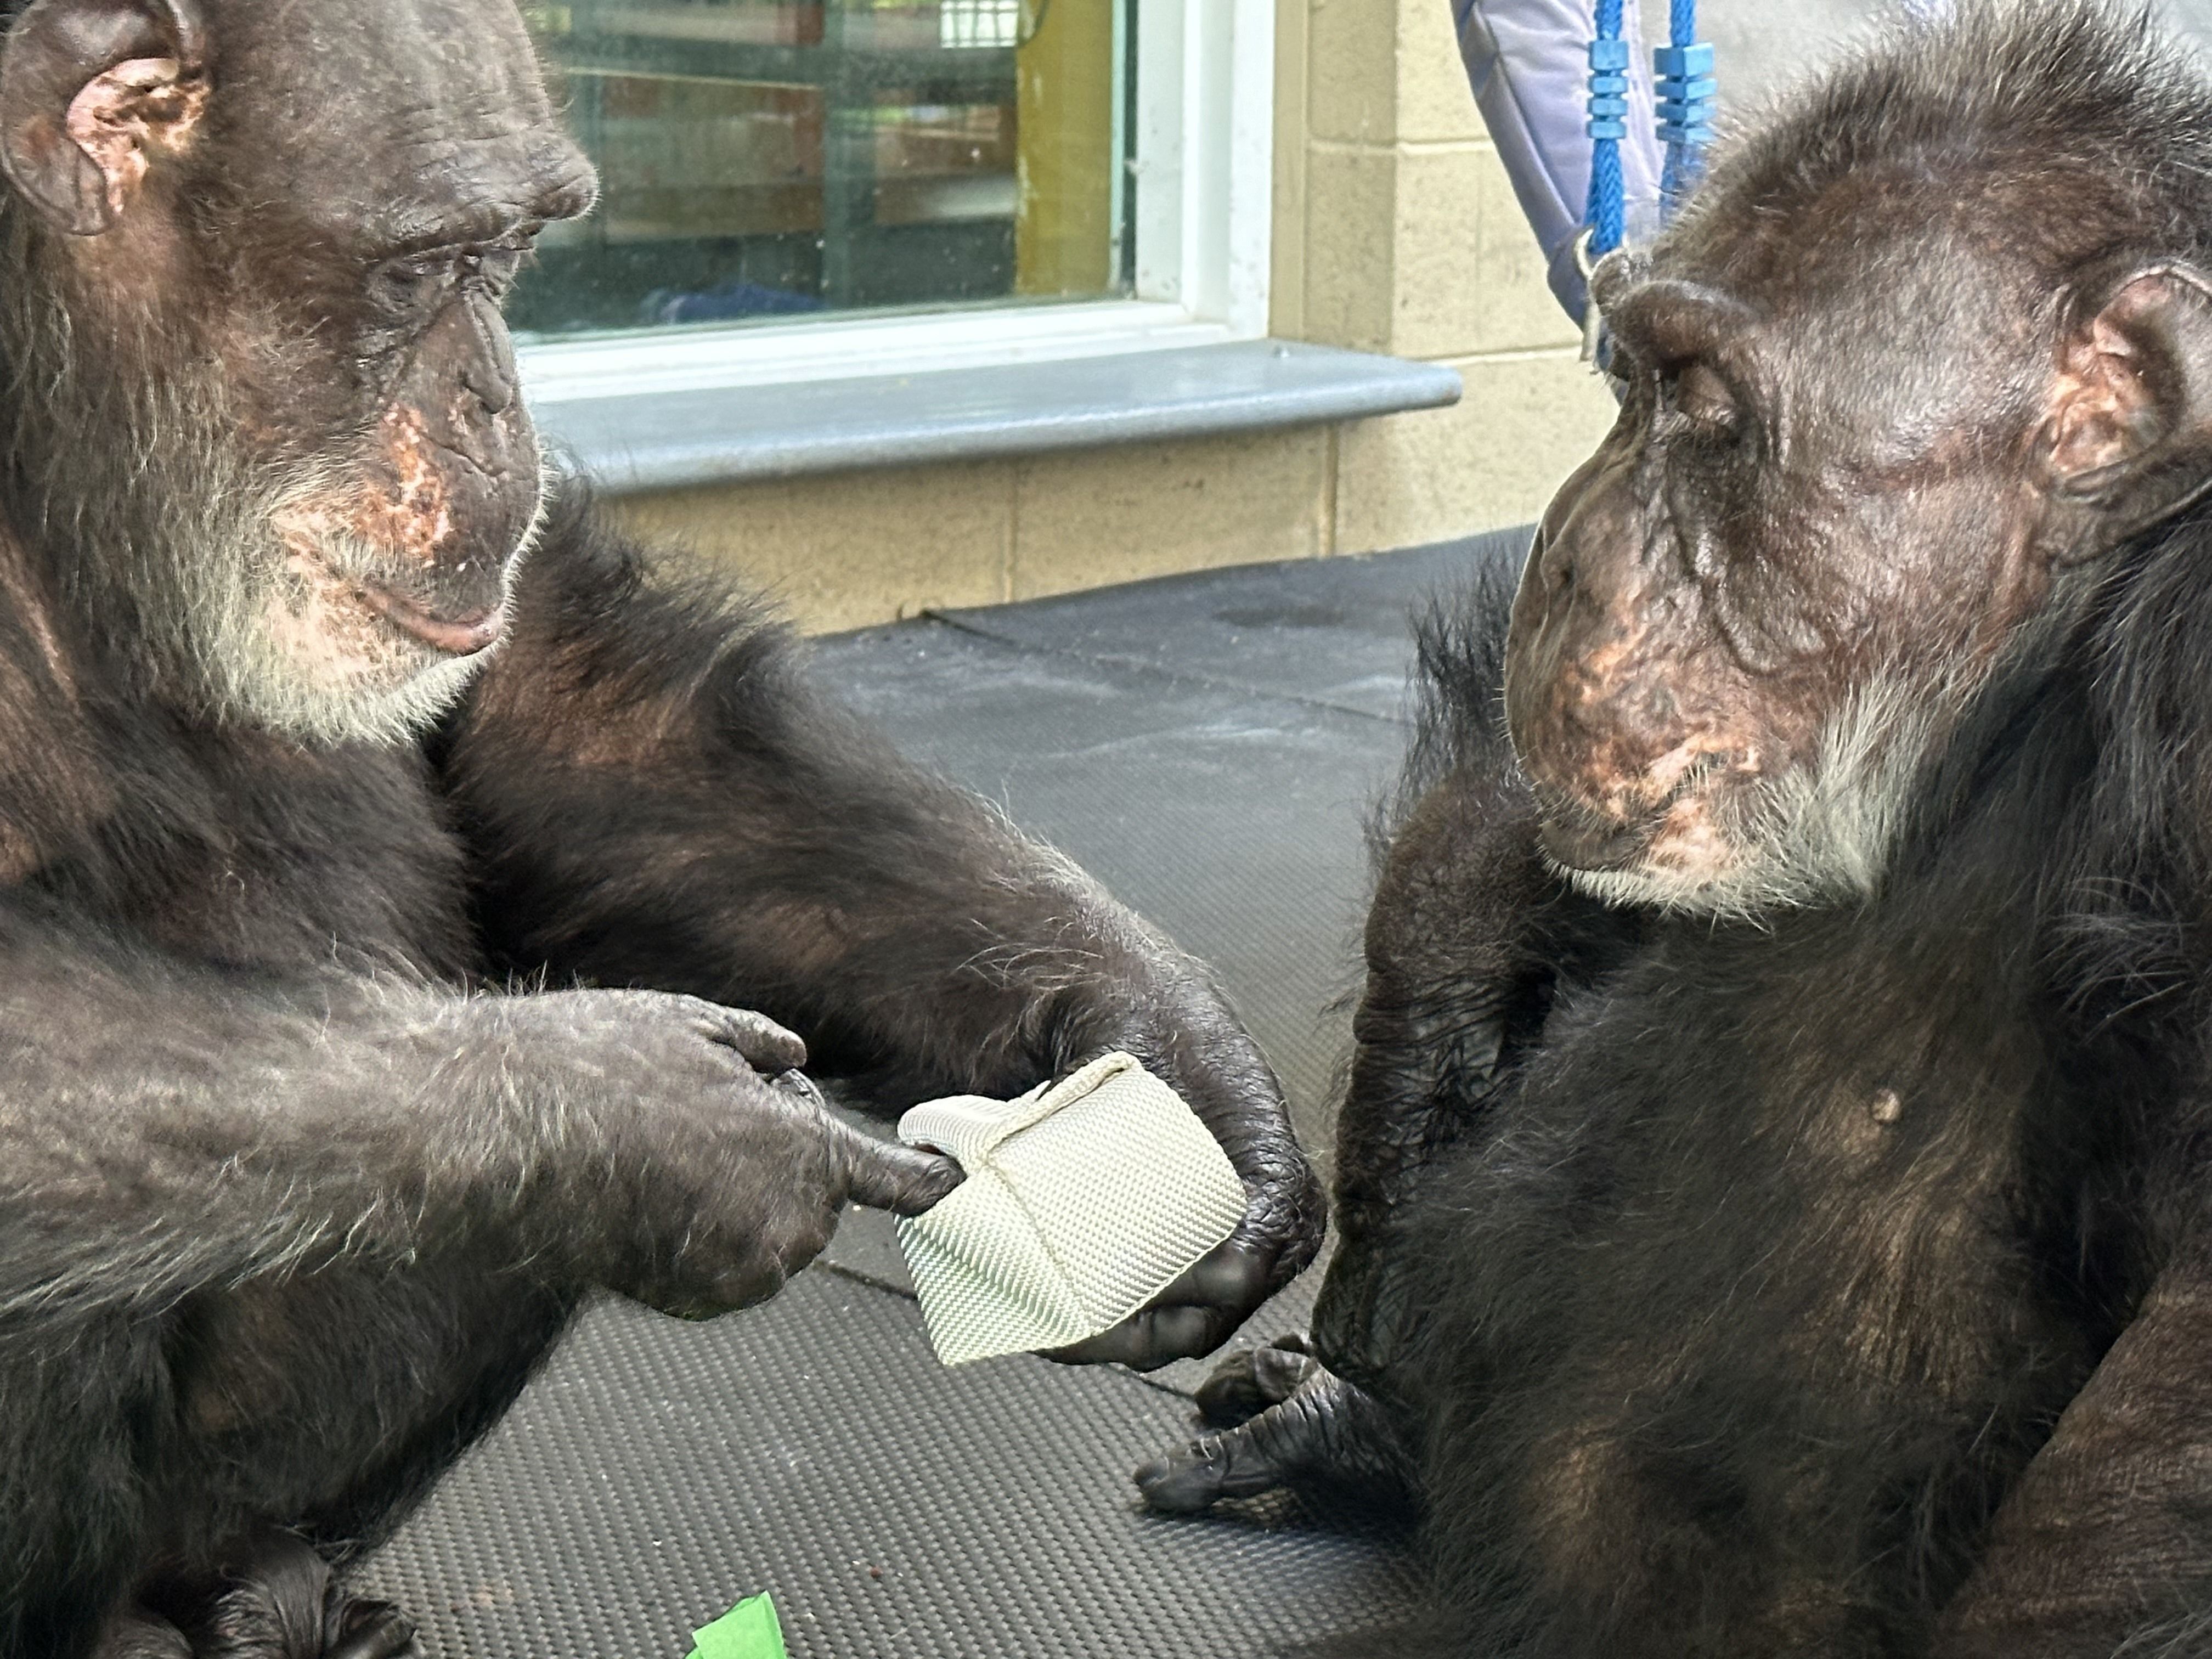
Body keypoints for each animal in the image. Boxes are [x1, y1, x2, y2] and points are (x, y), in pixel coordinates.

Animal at [0, 3, 1318, 1659]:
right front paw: (664, 1124)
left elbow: (572, 720)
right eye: (419, 269)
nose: (495, 395)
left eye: (508, 262)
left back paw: (279, 1592)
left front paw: (1162, 1039)